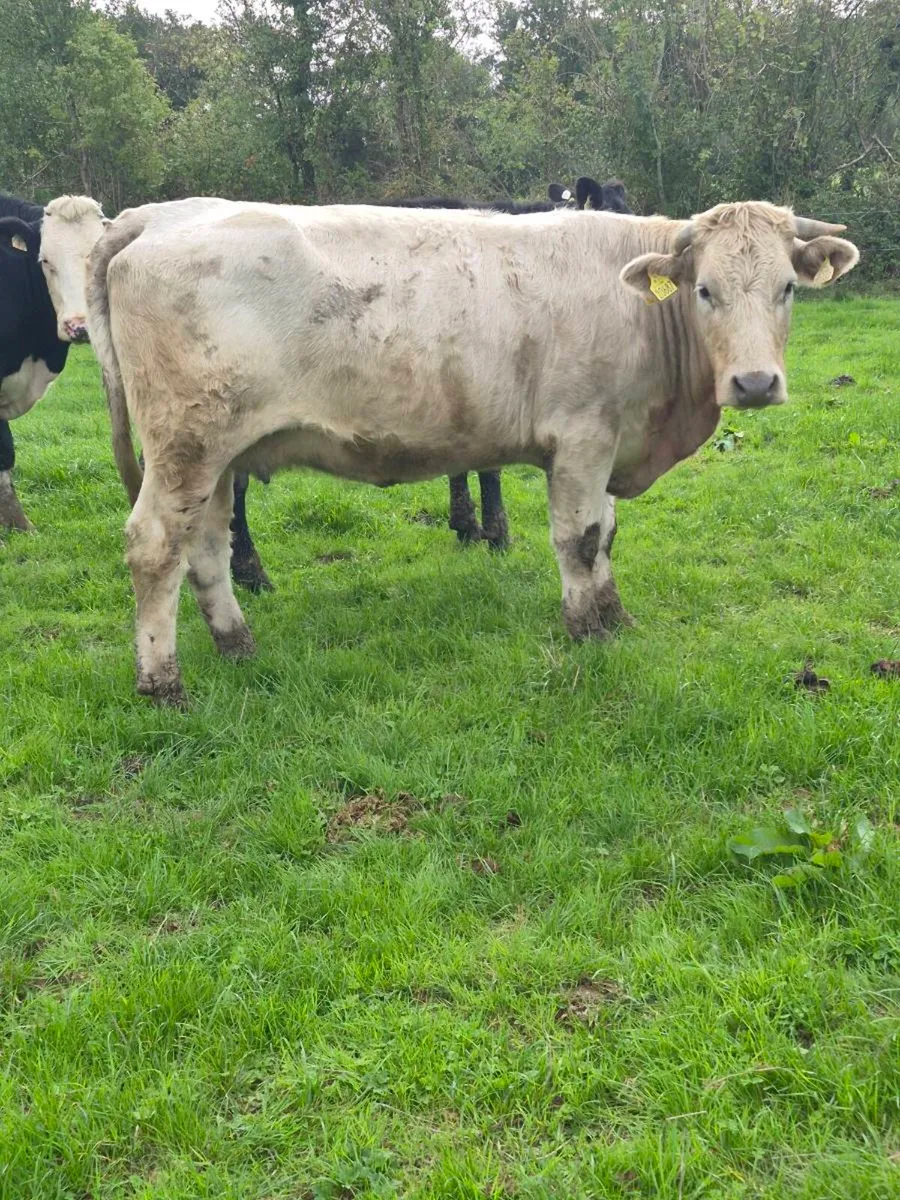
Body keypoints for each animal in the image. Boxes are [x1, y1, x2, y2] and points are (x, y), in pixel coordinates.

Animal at [40, 178, 632, 589]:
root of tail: (152, 216)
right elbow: (489, 467)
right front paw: (494, 532)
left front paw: (468, 526)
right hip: (205, 421)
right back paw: (250, 573)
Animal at [81, 197, 857, 705]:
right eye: (705, 289)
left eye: (787, 288)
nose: (754, 383)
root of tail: (157, 214)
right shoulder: (581, 435)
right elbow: (578, 539)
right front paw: (586, 631)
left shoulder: (610, 438)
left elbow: (607, 534)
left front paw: (615, 616)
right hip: (186, 445)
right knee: (154, 546)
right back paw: (162, 682)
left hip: (217, 457)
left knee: (206, 547)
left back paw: (238, 645)